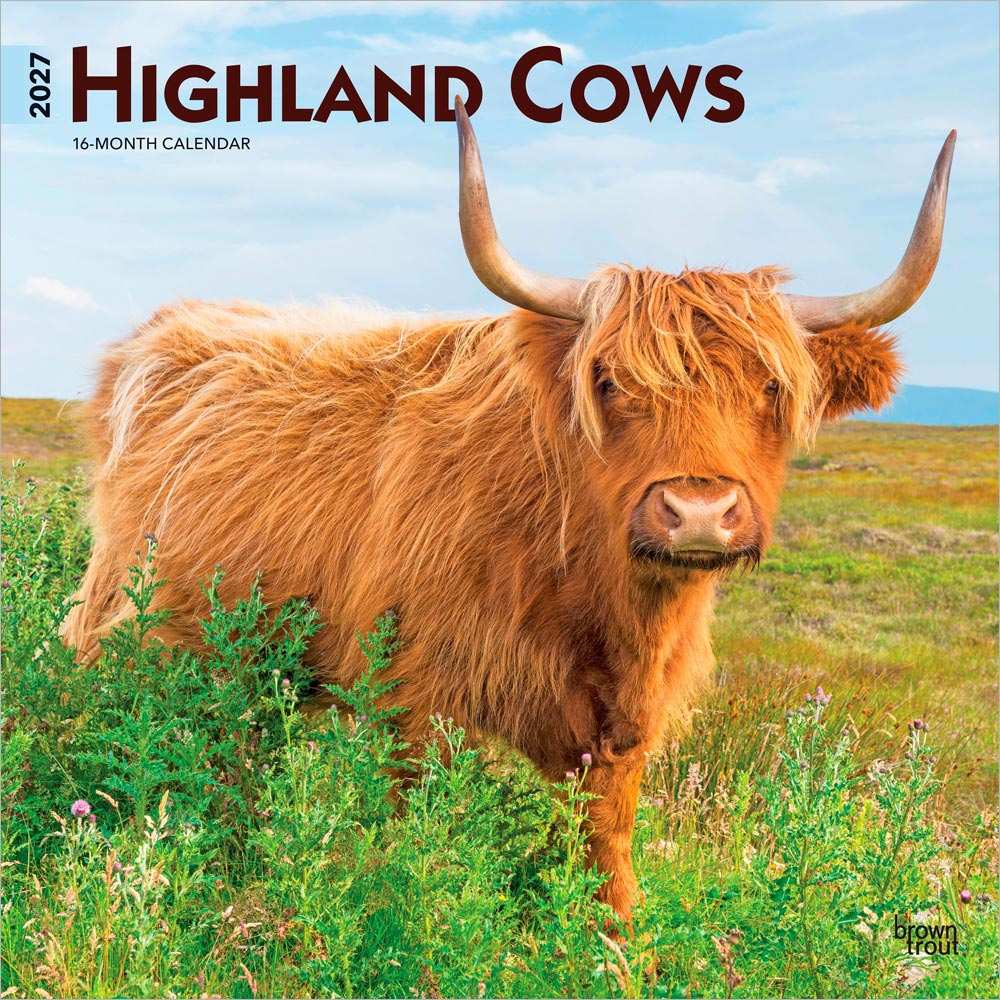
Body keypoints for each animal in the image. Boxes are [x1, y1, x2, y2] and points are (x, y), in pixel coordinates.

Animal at [63, 102, 955, 922]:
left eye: (771, 386)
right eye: (609, 381)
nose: (698, 511)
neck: (590, 591)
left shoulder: (620, 730)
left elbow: (605, 851)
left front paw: (617, 949)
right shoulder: (411, 691)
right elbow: (416, 839)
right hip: (128, 624)